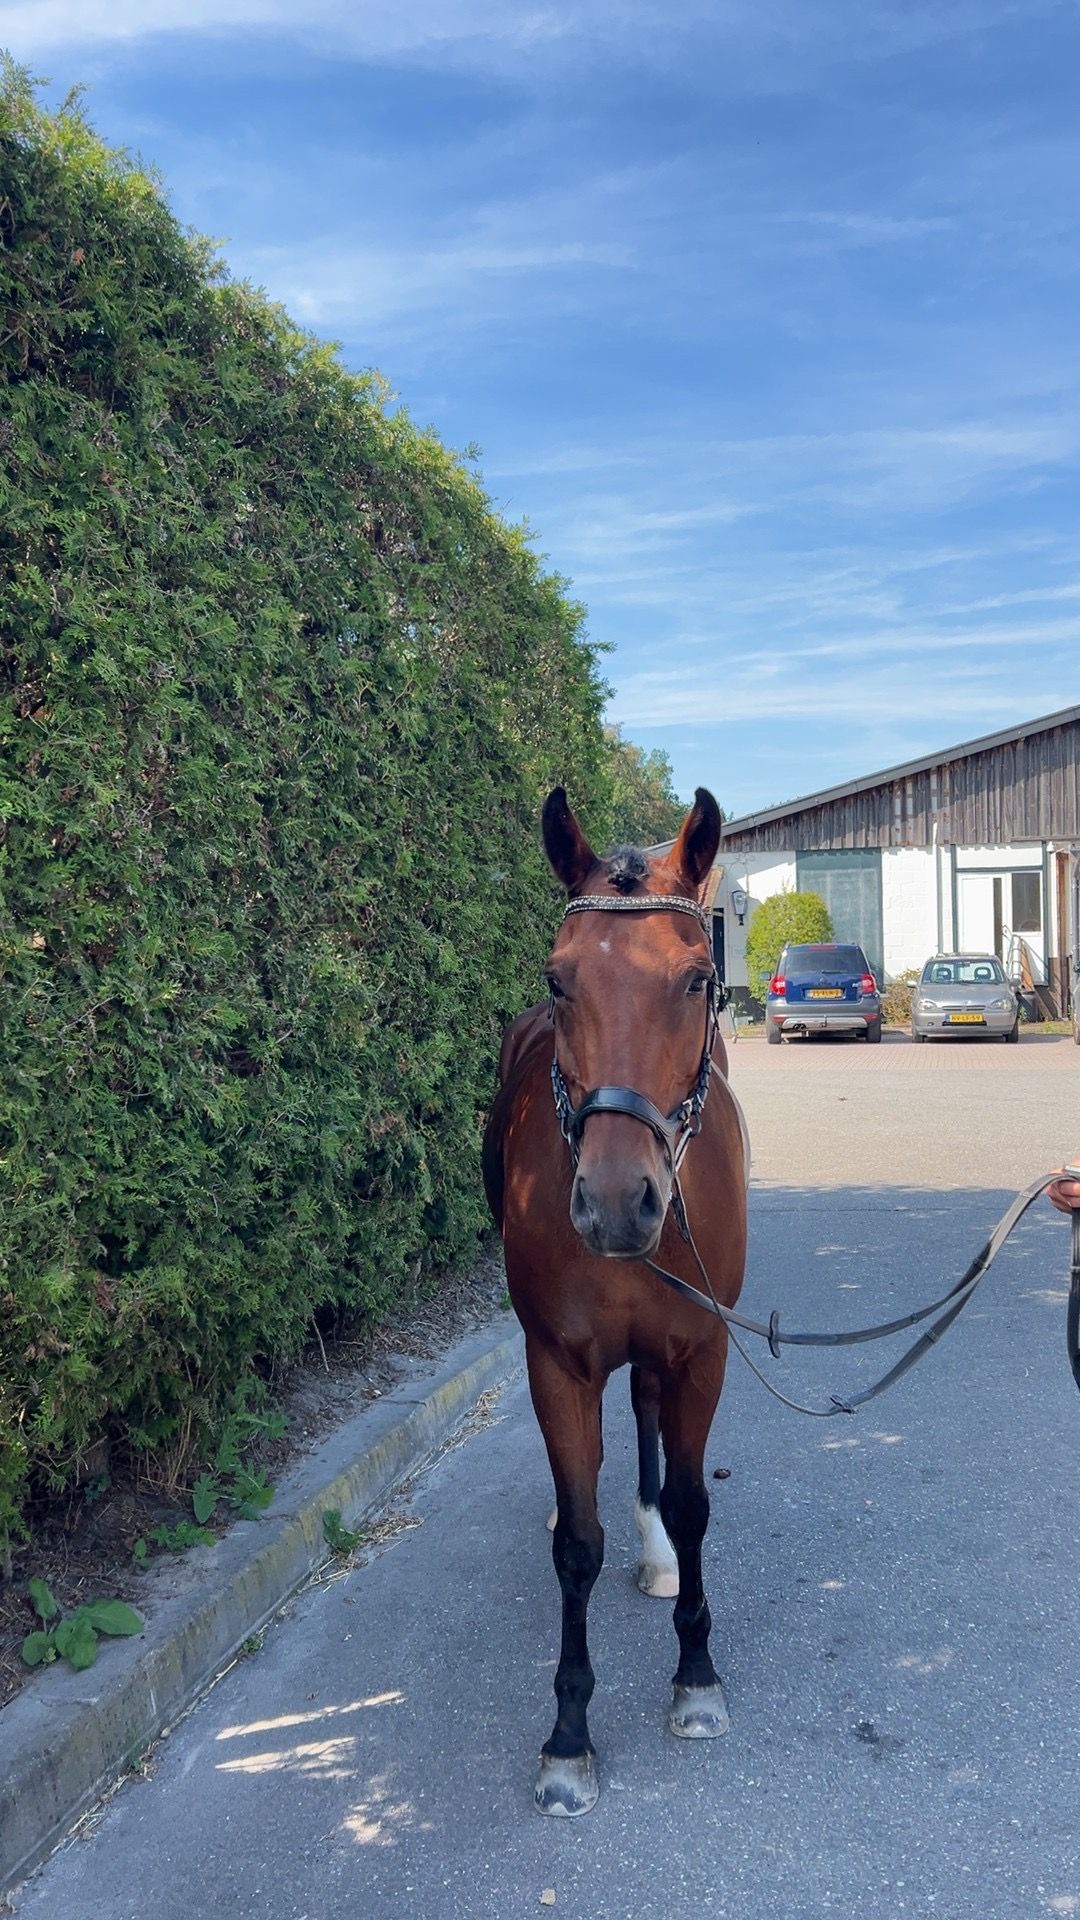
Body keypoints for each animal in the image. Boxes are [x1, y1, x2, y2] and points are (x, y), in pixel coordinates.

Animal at [482, 785, 748, 1816]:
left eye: (696, 980)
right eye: (560, 980)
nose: (613, 1202)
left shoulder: (702, 1350)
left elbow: (692, 1503)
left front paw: (697, 1678)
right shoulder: (557, 1363)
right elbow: (578, 1547)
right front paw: (568, 1735)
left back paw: (660, 1555)